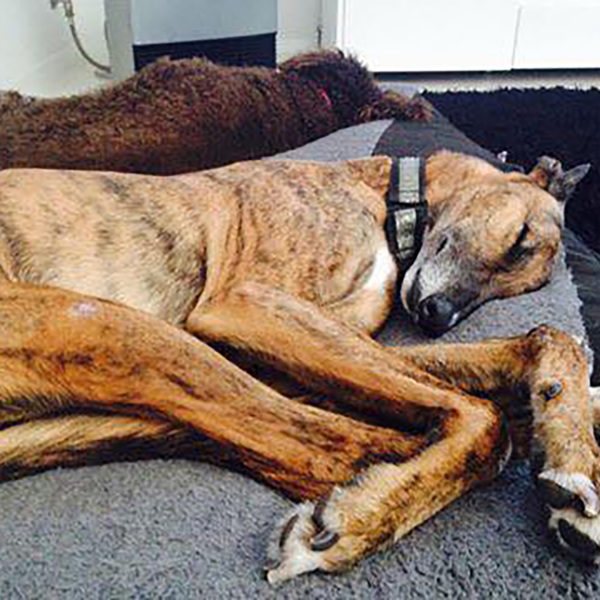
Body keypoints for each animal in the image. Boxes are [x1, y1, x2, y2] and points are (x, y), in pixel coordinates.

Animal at [0, 151, 595, 583]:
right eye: (520, 241)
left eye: (516, 281)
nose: (436, 317)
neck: (379, 197)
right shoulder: (246, 304)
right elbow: (482, 418)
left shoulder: (296, 339)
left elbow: (548, 338)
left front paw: (571, 449)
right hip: (108, 323)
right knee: (330, 451)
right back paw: (354, 516)